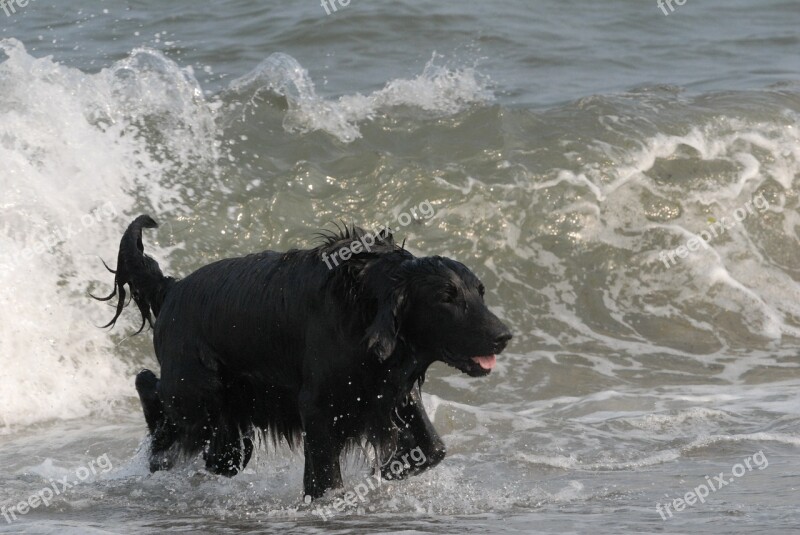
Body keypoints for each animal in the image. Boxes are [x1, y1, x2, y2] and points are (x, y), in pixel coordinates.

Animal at [95, 216, 512, 500]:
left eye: (480, 292)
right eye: (446, 298)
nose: (504, 335)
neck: (364, 302)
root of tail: (172, 288)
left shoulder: (391, 390)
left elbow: (432, 450)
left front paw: (392, 470)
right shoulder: (317, 406)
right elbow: (325, 480)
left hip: (229, 428)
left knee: (215, 454)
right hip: (196, 398)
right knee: (149, 390)